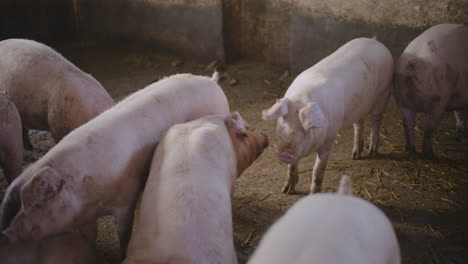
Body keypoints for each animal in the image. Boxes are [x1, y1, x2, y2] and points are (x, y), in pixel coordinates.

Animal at [0, 72, 230, 256]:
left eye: (37, 205)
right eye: (18, 205)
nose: (6, 233)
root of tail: (211, 81)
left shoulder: (126, 198)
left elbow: (124, 231)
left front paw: (121, 254)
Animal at [262, 37, 394, 193]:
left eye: (305, 127)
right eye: (283, 121)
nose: (285, 154)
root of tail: (375, 41)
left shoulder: (330, 139)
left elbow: (317, 171)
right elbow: (292, 167)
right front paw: (286, 191)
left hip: (384, 91)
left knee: (376, 119)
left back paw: (372, 152)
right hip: (359, 105)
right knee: (359, 124)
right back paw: (355, 156)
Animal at [394, 23, 468, 159]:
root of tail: (412, 64)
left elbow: (459, 112)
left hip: (402, 100)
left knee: (407, 124)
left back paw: (410, 150)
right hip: (437, 101)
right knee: (429, 129)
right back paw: (430, 154)